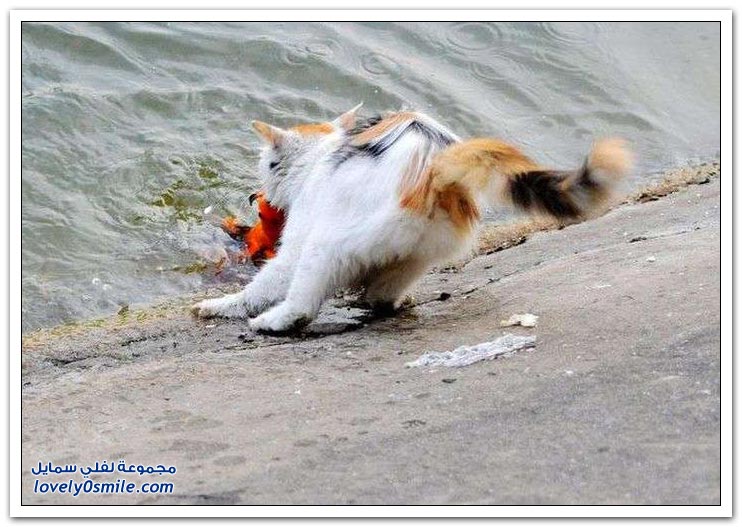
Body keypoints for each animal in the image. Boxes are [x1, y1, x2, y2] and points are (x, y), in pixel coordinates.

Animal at [192, 104, 631, 333]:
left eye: (268, 166)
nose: (258, 195)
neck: (322, 157)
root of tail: (434, 174)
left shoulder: (300, 236)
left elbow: (265, 281)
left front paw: (222, 305)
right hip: (419, 253)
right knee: (384, 293)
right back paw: (375, 302)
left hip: (328, 245)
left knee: (301, 301)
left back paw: (272, 320)